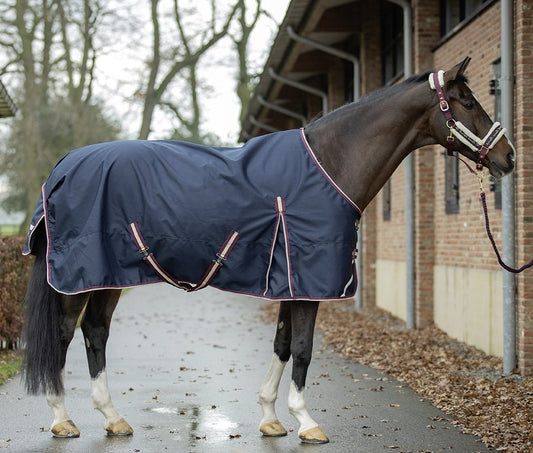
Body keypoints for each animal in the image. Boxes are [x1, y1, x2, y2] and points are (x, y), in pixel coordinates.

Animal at [22, 56, 512, 442]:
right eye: (468, 102)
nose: (508, 157)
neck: (331, 163)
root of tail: (63, 165)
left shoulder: (290, 282)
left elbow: (281, 343)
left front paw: (271, 418)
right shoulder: (308, 282)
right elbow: (303, 348)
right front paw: (307, 422)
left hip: (108, 278)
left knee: (95, 332)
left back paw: (113, 417)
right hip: (81, 278)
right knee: (64, 335)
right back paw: (63, 419)